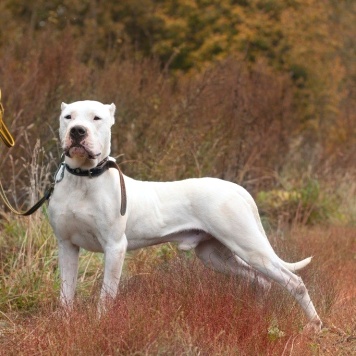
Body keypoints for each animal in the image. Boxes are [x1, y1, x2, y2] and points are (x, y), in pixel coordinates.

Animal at [48, 99, 322, 330]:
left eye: (96, 118)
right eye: (68, 117)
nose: (77, 131)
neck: (83, 178)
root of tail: (236, 188)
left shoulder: (115, 247)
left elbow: (106, 295)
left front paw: (100, 324)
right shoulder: (67, 245)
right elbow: (65, 292)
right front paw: (63, 324)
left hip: (250, 247)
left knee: (293, 282)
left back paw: (314, 326)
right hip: (214, 255)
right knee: (261, 280)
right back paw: (256, 312)